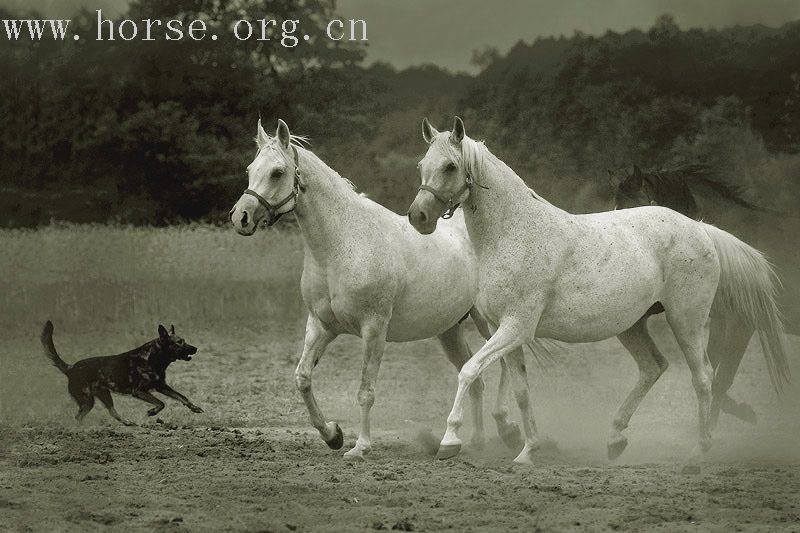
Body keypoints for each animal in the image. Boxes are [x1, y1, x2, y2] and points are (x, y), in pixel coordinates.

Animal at [41, 320, 205, 424]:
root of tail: (71, 368)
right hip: (87, 400)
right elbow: (161, 403)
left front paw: (194, 407)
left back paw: (127, 423)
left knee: (112, 412)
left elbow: (182, 397)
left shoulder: (161, 386)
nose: (196, 348)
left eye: (184, 340)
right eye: (179, 342)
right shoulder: (139, 391)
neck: (153, 358)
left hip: (103, 396)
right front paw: (152, 412)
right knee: (78, 417)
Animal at [227, 118, 524, 460]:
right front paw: (333, 435)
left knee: (503, 361)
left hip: (487, 321)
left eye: (276, 172)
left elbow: (365, 391)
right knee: (475, 378)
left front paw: (360, 447)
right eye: (250, 169)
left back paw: (508, 429)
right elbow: (302, 378)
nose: (240, 217)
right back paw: (473, 442)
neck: (340, 246)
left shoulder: (373, 329)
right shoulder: (320, 325)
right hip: (449, 330)